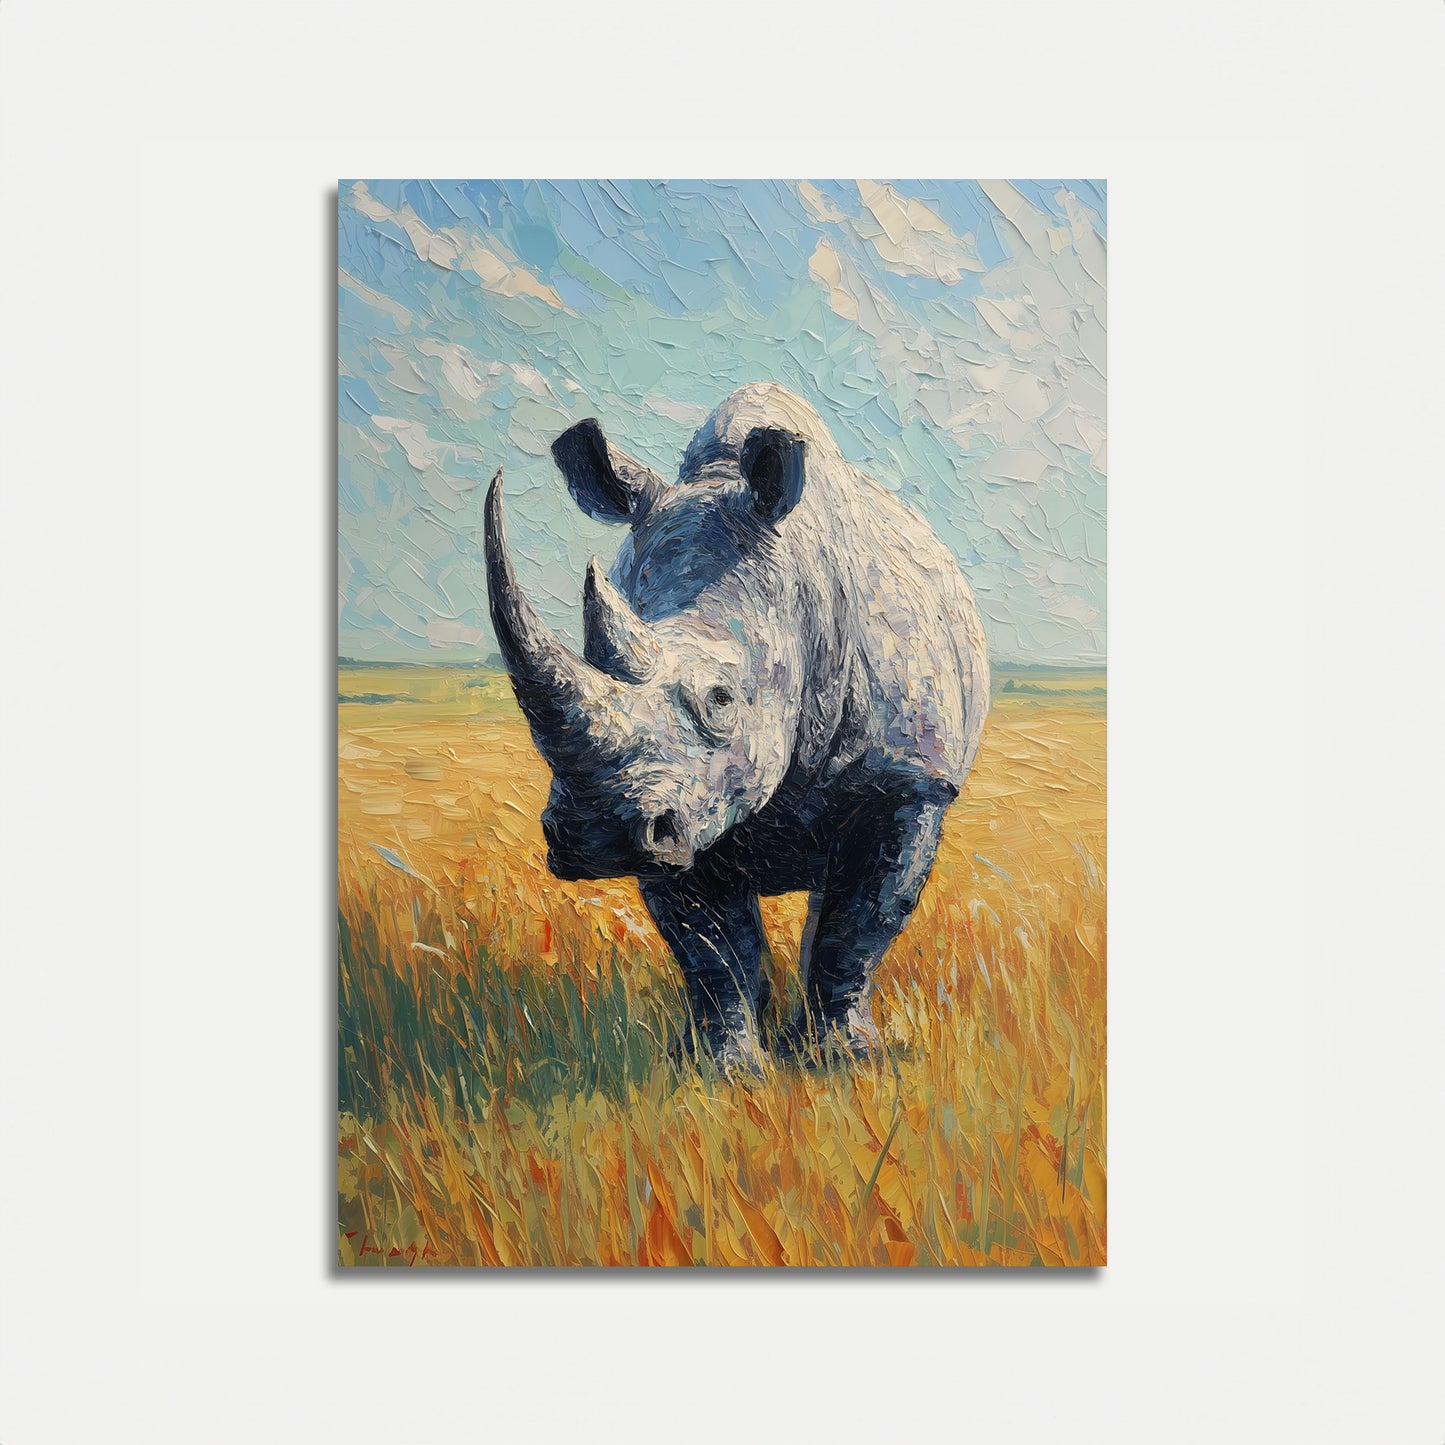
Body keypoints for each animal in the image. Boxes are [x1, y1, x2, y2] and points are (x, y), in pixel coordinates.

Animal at [485, 382, 989, 1066]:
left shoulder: (910, 780)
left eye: (721, 700)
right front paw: (723, 1070)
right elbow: (713, 951)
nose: (597, 835)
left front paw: (845, 1060)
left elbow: (857, 930)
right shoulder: (681, 810)